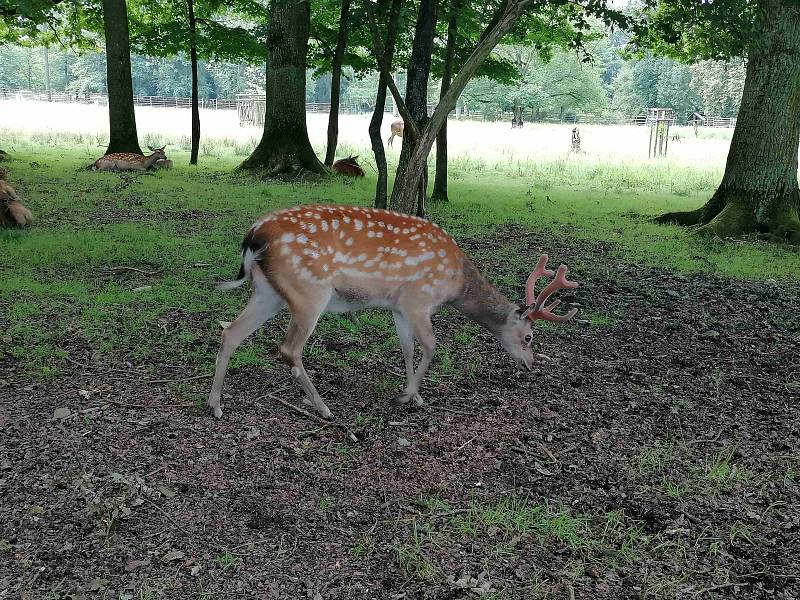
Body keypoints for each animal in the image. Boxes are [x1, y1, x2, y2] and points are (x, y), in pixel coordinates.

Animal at [209, 204, 580, 420]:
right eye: (529, 336)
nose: (530, 364)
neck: (456, 283)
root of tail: (254, 234)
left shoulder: (398, 307)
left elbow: (407, 347)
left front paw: (414, 393)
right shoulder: (419, 299)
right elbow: (431, 345)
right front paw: (408, 396)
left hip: (268, 291)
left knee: (230, 332)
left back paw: (215, 405)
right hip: (309, 291)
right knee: (289, 348)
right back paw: (324, 409)